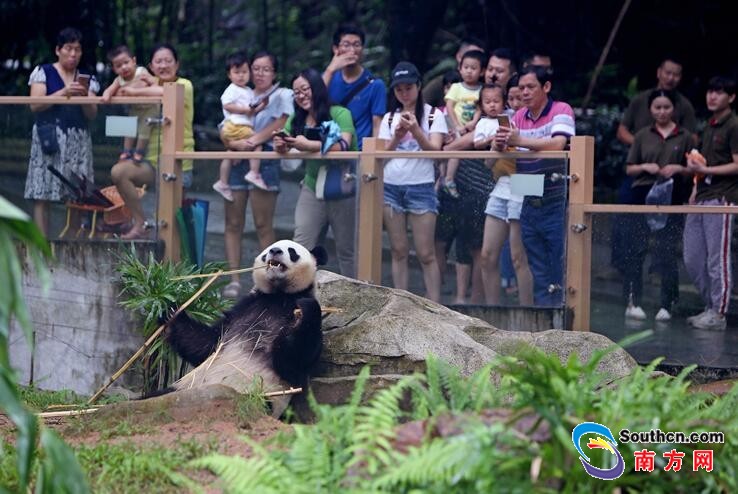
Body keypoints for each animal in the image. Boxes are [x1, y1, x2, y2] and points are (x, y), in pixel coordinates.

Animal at [162, 237, 326, 414]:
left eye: (292, 251)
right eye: (268, 251)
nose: (275, 251)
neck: (278, 295)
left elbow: (293, 361)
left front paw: (305, 311)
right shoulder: (242, 310)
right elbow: (207, 344)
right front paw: (170, 313)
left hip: (263, 395)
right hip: (184, 388)